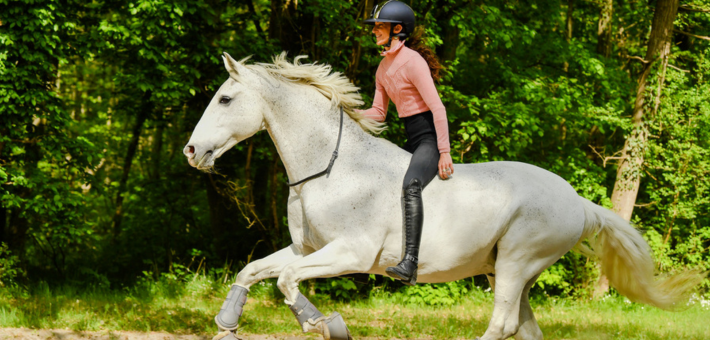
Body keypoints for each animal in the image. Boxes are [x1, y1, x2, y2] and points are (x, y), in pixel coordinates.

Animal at [182, 52, 700, 340]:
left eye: (225, 99)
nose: (191, 151)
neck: (330, 169)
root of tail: (579, 202)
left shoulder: (348, 253)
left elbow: (287, 281)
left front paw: (324, 325)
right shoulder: (306, 248)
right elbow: (253, 270)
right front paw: (227, 326)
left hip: (517, 263)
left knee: (502, 326)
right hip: (506, 270)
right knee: (525, 329)